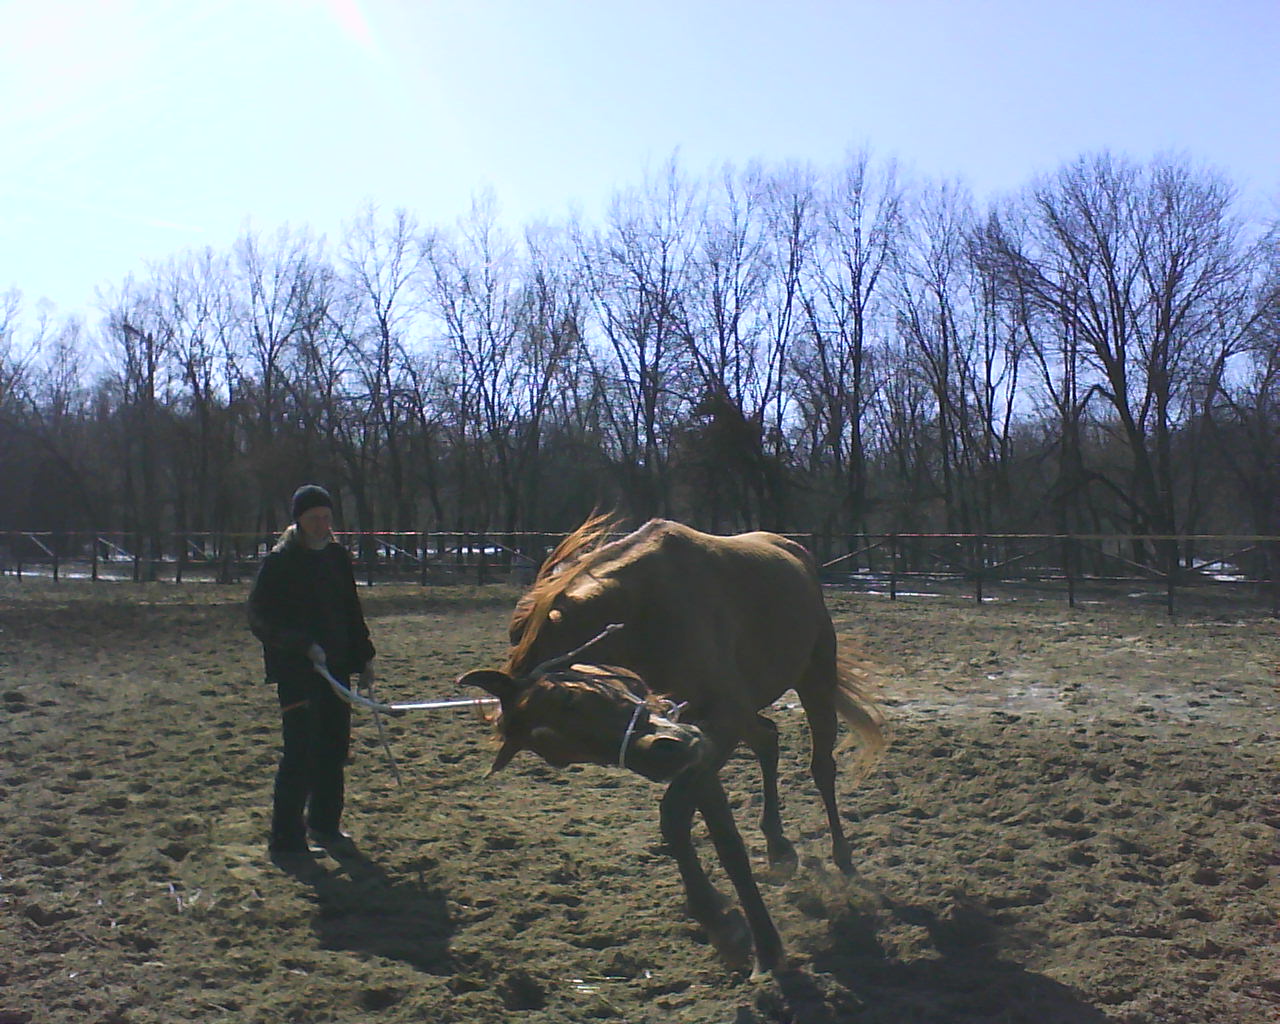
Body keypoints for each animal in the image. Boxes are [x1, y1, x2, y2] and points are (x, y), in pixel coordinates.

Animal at [459, 515, 887, 978]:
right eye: (560, 753)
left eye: (573, 699)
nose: (665, 753)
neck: (641, 609)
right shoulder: (702, 743)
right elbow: (695, 828)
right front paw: (723, 922)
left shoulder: (717, 728)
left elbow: (703, 829)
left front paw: (761, 943)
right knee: (768, 739)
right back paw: (778, 847)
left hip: (814, 680)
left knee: (821, 768)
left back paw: (843, 858)